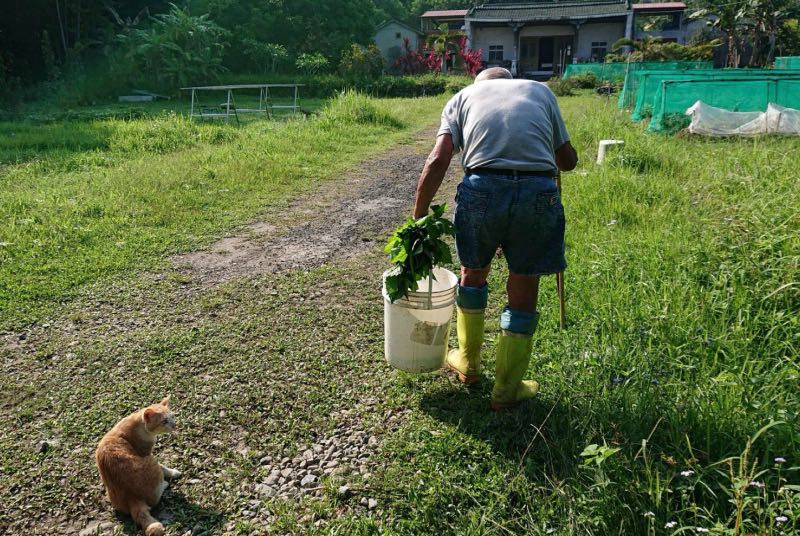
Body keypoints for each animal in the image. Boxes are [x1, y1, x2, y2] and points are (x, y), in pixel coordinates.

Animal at [95, 394, 180, 536]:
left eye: (173, 417)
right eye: (164, 421)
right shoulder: (147, 453)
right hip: (151, 461)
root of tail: (132, 497)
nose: (174, 425)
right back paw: (164, 484)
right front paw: (173, 472)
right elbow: (164, 467)